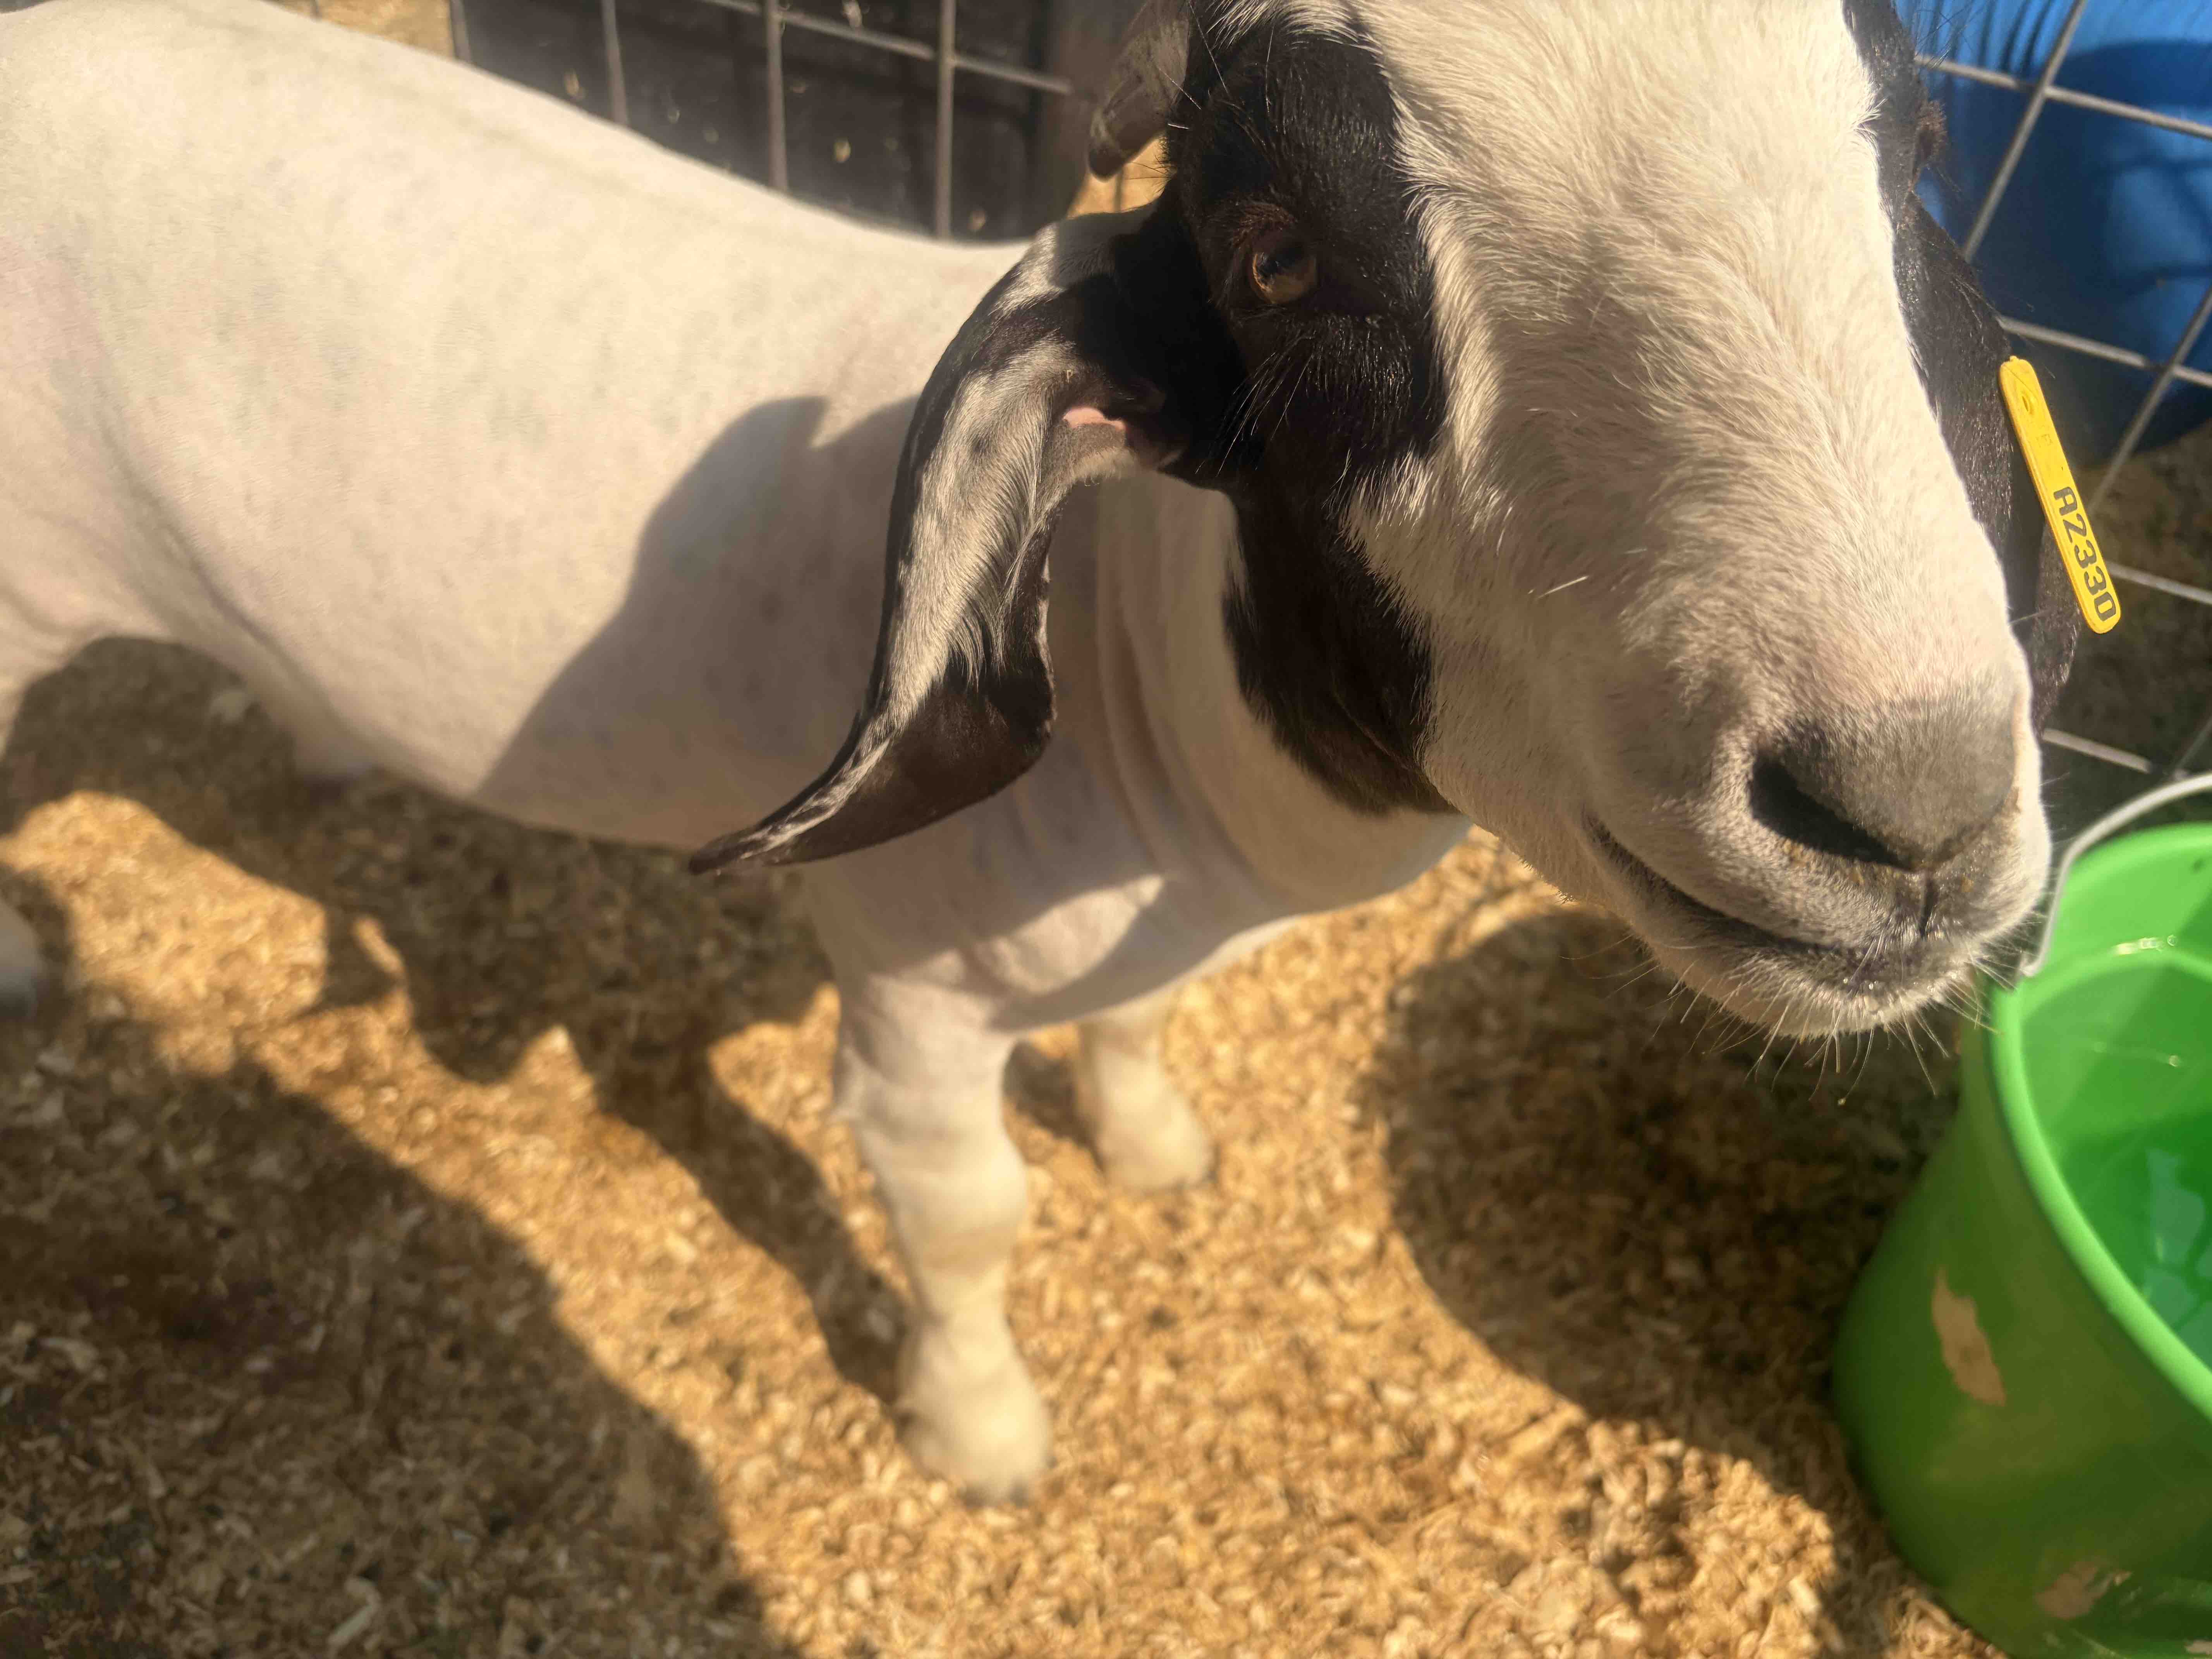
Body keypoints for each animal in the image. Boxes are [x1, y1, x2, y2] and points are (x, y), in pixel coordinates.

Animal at [0, 0, 2078, 1501]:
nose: (1901, 806)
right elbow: (971, 1221)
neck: (1155, 685)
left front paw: (1153, 1148)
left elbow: (1141, 1026)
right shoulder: (915, 1005)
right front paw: (982, 1437)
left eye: (1925, 158)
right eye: (1274, 260)